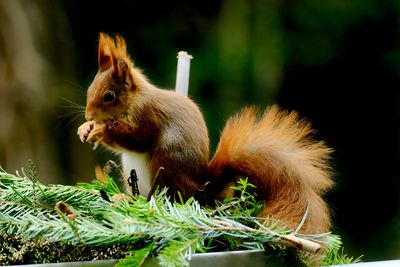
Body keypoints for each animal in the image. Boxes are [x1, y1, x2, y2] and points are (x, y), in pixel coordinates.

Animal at [76, 33, 332, 237]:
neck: (134, 101)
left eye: (109, 96)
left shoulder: (148, 116)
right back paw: (123, 199)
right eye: (90, 89)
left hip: (166, 164)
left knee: (169, 198)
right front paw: (85, 128)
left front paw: (101, 130)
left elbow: (136, 139)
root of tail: (200, 190)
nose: (89, 114)